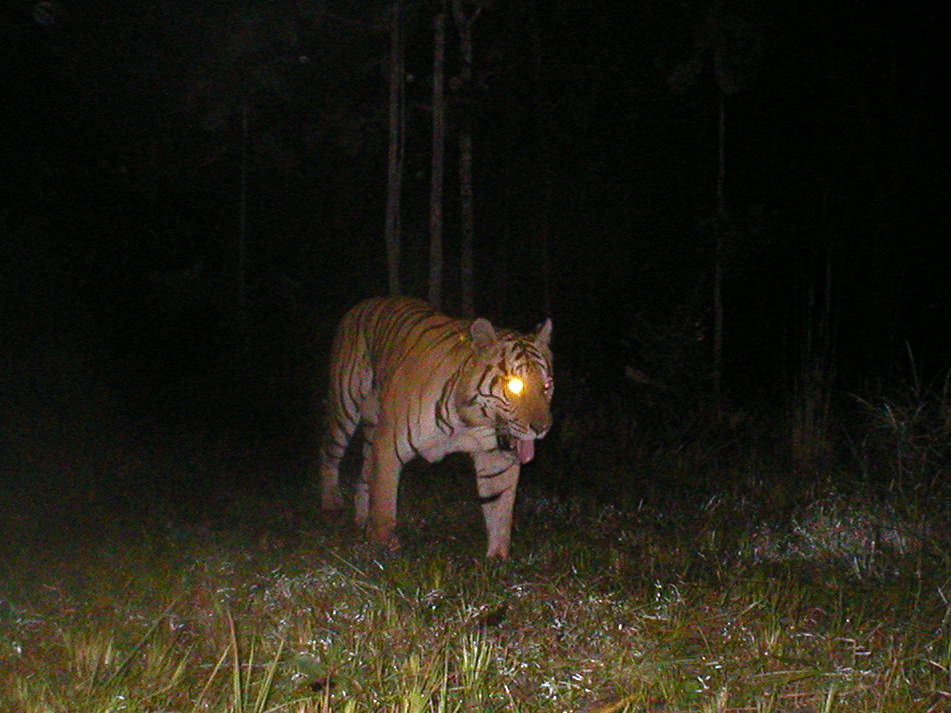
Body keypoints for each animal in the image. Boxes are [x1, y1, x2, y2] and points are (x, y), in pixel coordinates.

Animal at [320, 294, 556, 556]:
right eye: (515, 385)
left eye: (547, 385)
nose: (542, 428)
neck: (470, 420)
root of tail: (364, 303)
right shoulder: (388, 444)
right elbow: (384, 500)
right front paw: (382, 548)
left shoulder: (496, 457)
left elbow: (500, 510)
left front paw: (498, 559)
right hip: (345, 406)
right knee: (329, 453)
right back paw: (331, 505)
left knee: (364, 475)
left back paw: (361, 520)